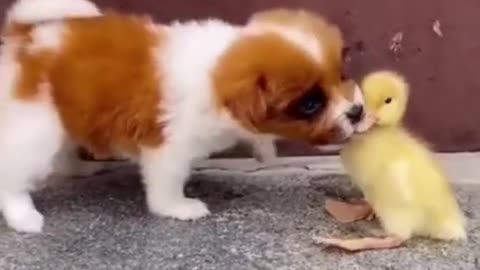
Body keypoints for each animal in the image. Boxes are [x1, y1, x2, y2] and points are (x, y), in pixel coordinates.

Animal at [0, 0, 364, 232]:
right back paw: (23, 216)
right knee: (14, 174)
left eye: (341, 76)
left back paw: (79, 168)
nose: (357, 111)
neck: (216, 72)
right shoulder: (168, 146)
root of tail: (25, 37)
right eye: (311, 104)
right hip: (38, 127)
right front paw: (177, 208)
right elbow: (168, 181)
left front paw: (263, 148)